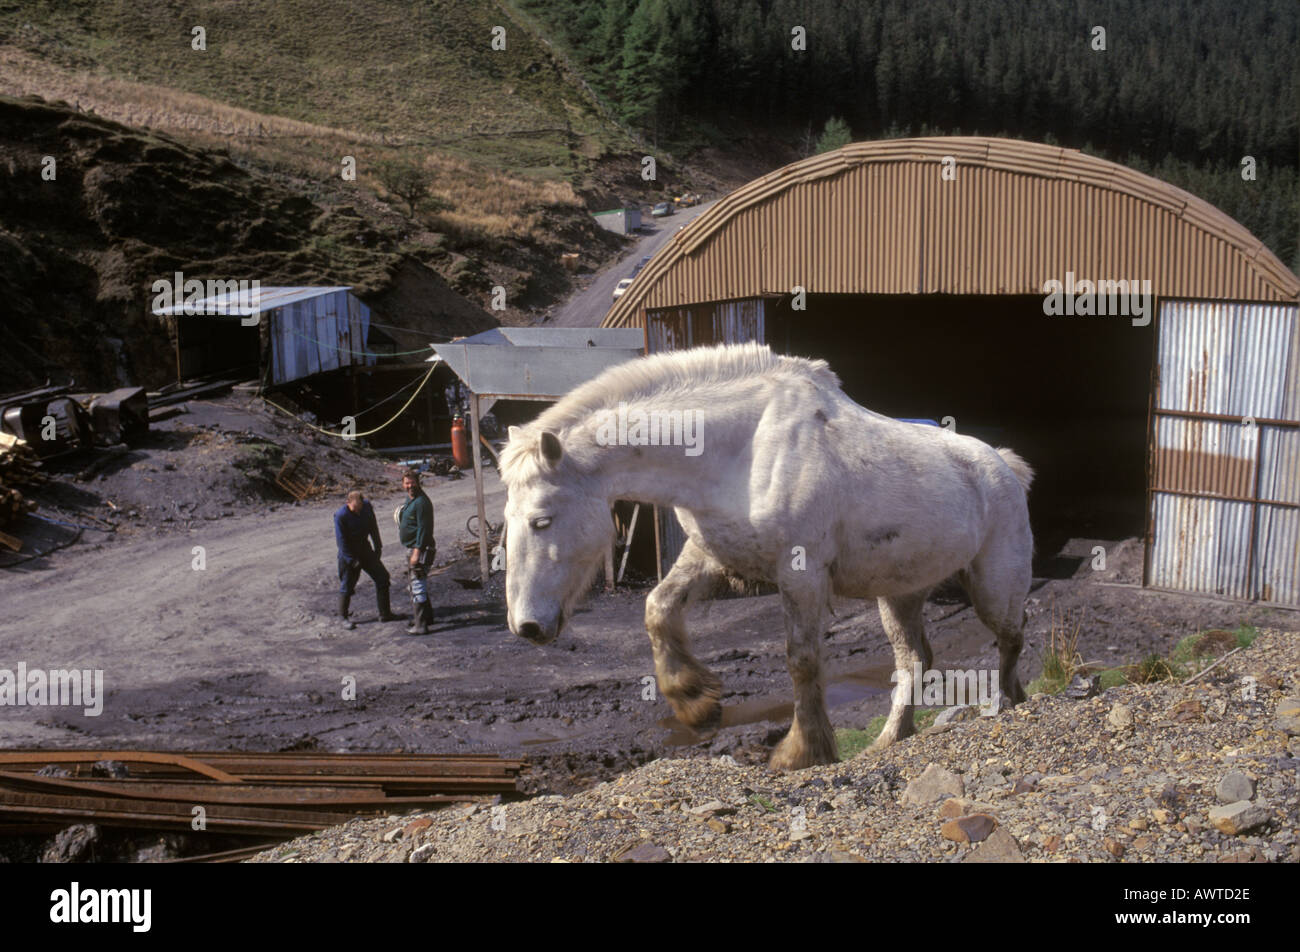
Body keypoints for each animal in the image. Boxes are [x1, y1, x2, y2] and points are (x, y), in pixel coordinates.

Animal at [499, 338, 1034, 769]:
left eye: (542, 520)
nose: (526, 626)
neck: (743, 447)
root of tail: (1004, 465)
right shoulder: (709, 556)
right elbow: (657, 608)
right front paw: (695, 702)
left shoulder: (801, 574)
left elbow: (802, 660)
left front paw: (801, 752)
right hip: (900, 594)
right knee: (914, 661)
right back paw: (891, 738)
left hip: (993, 587)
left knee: (1011, 639)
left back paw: (1011, 704)